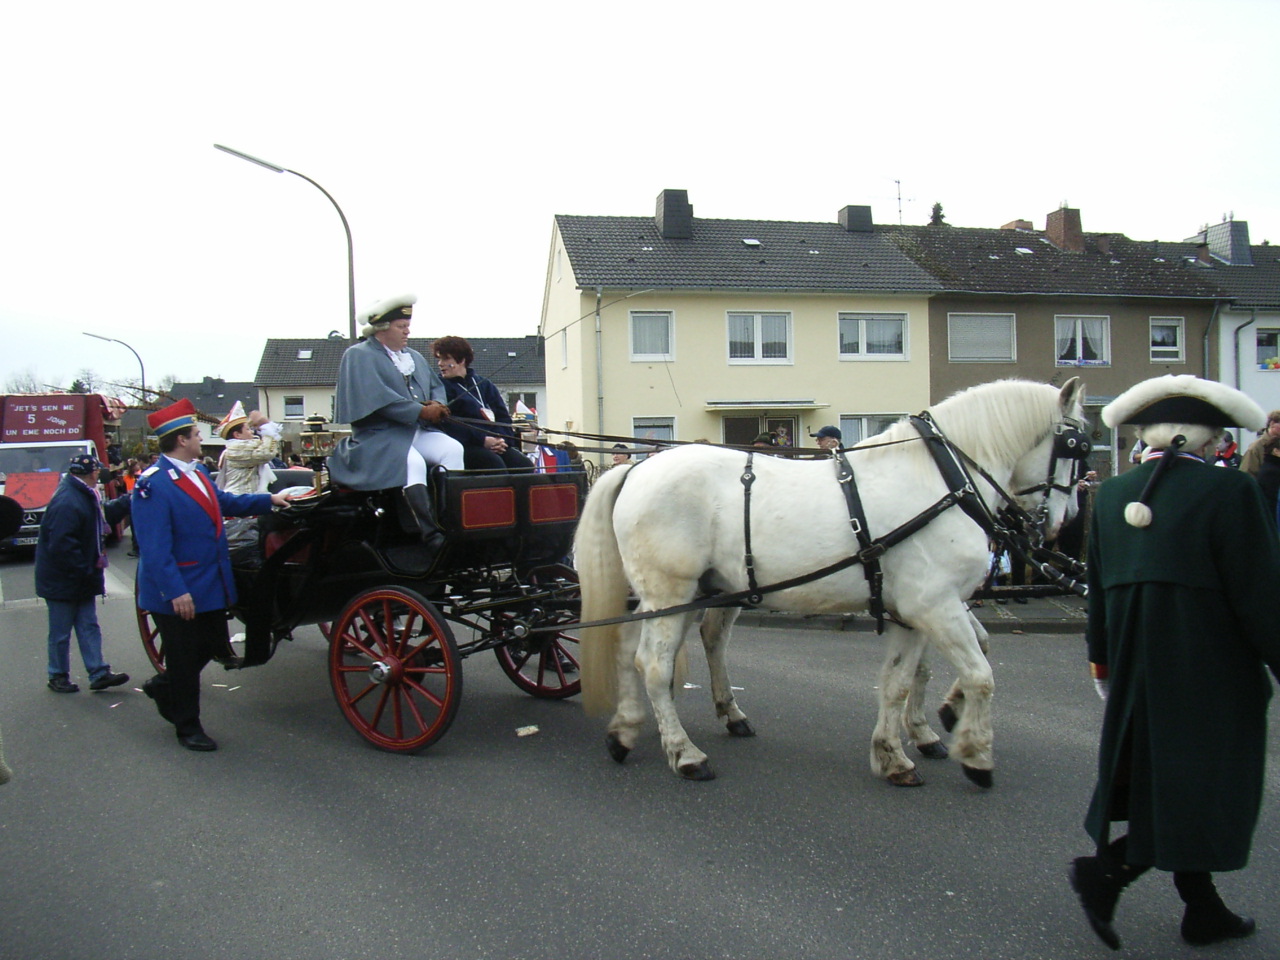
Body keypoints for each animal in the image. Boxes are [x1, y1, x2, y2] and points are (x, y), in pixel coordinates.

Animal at [573, 378, 1088, 788]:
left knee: (646, 648)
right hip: (671, 590)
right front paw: (976, 756)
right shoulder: (936, 607)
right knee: (654, 665)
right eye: (1075, 446)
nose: (1063, 523)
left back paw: (629, 729)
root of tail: (636, 468)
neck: (940, 482)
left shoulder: (916, 613)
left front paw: (898, 752)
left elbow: (902, 681)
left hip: (688, 593)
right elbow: (980, 675)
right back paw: (684, 754)